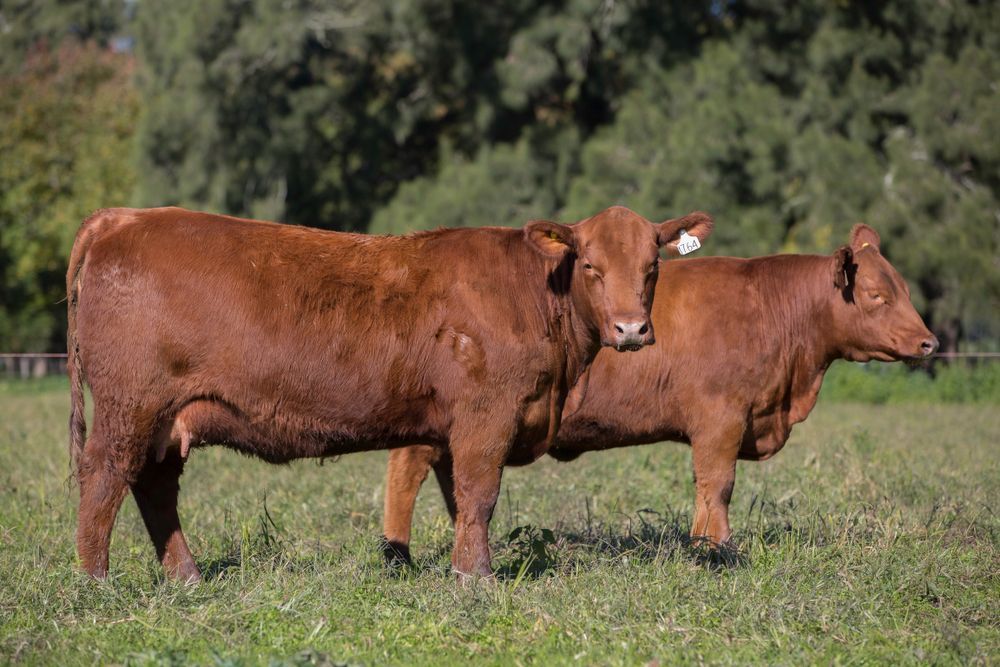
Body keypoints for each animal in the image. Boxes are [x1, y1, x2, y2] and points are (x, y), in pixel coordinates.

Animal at [66, 205, 714, 580]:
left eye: (652, 266)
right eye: (590, 265)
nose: (631, 330)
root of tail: (123, 217)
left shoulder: (457, 428)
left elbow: (460, 502)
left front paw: (464, 568)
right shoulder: (487, 415)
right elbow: (480, 494)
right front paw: (477, 579)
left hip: (165, 421)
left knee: (153, 488)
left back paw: (186, 576)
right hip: (131, 406)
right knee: (103, 479)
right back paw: (97, 583)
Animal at [381, 224, 938, 564]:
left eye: (906, 290)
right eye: (876, 296)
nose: (929, 342)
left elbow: (706, 488)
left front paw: (700, 546)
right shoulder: (721, 416)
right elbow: (717, 484)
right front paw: (718, 551)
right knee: (406, 471)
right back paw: (396, 555)